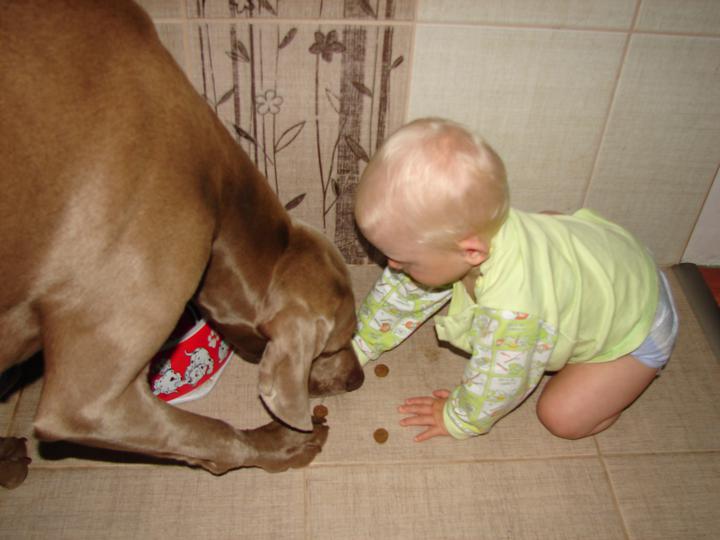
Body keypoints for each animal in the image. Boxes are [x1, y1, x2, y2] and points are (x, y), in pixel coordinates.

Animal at [0, 0, 364, 488]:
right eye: (332, 345)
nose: (358, 379)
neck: (218, 200)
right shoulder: (87, 404)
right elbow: (213, 434)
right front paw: (281, 443)